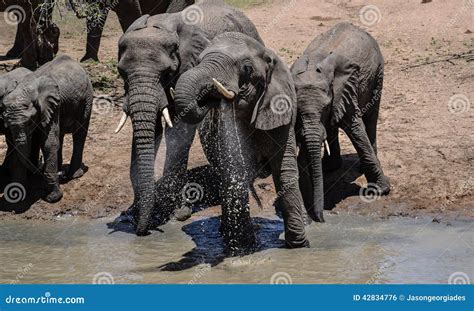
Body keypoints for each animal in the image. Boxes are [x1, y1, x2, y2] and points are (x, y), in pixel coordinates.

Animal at [1, 54, 92, 204]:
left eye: (30, 123)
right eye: (6, 124)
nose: (39, 169)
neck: (25, 90)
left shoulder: (52, 105)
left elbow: (49, 143)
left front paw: (52, 198)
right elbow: (17, 146)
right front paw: (17, 195)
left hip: (87, 98)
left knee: (79, 134)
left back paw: (74, 175)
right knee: (61, 135)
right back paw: (61, 171)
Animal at [114, 0, 262, 236]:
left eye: (167, 72)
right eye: (121, 73)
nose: (141, 231)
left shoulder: (188, 66)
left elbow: (180, 129)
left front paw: (175, 211)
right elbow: (151, 130)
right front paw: (138, 213)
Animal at [174, 33, 312, 254]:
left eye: (246, 68)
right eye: (199, 61)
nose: (207, 97)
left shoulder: (282, 110)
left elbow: (284, 171)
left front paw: (299, 247)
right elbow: (237, 172)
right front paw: (244, 248)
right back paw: (226, 232)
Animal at [290, 22, 390, 219]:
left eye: (325, 107)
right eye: (298, 111)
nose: (320, 218)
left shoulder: (344, 90)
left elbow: (356, 130)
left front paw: (381, 191)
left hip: (378, 71)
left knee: (371, 116)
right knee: (332, 127)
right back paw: (330, 167)